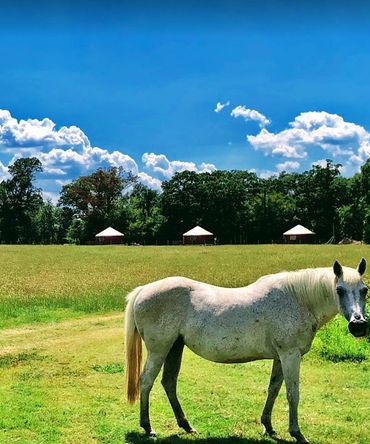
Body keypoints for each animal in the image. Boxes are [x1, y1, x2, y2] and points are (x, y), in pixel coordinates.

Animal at [124, 258, 368, 442]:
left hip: (175, 348)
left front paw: (268, 427)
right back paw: (148, 427)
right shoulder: (290, 355)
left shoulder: (280, 357)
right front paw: (297, 433)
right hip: (159, 350)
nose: (359, 325)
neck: (298, 299)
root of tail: (143, 290)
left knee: (169, 383)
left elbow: (274, 389)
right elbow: (292, 394)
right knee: (146, 382)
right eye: (339, 290)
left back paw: (186, 426)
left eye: (365, 290)